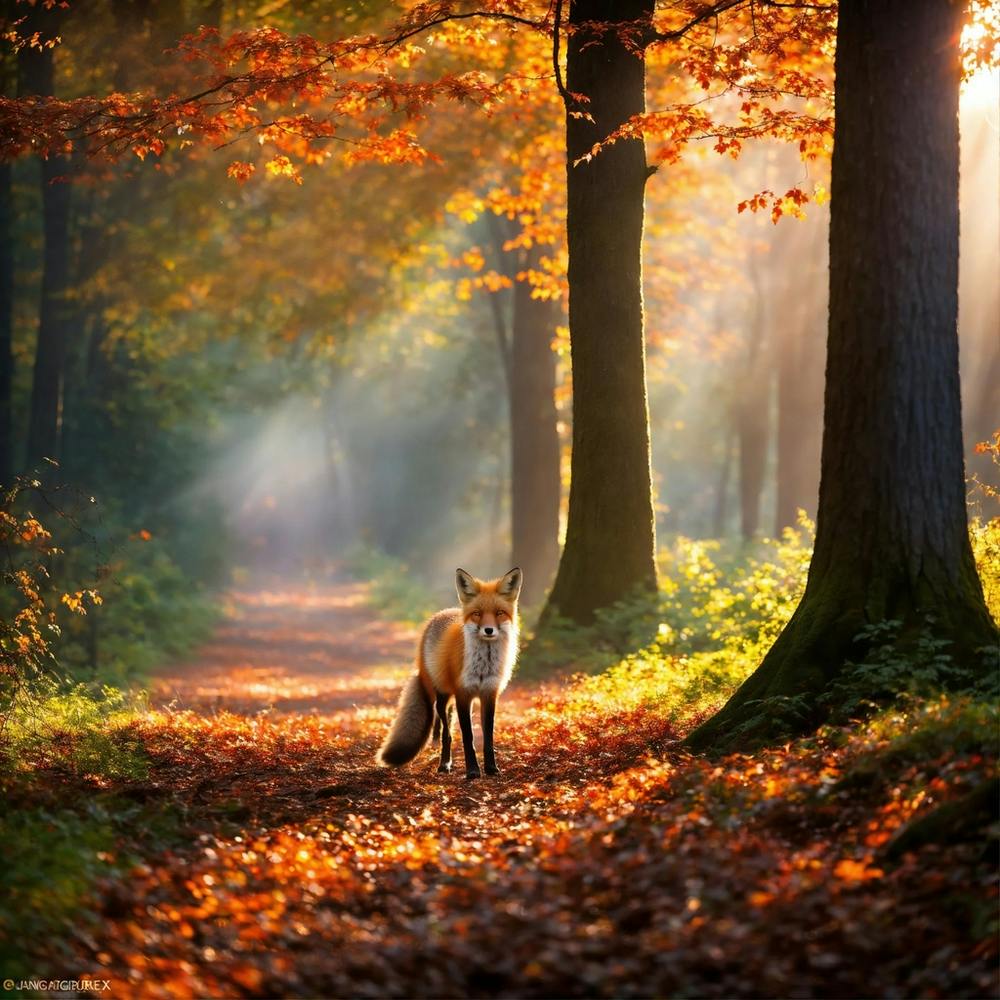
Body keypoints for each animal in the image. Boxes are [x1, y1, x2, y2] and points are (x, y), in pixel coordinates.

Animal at [376, 566, 522, 779]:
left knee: (450, 728)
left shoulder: (489, 694)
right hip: (442, 696)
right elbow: (468, 737)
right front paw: (472, 770)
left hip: (452, 699)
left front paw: (491, 768)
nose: (488, 630)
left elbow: (488, 736)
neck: (483, 666)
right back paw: (444, 764)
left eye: (499, 613)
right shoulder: (463, 694)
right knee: (446, 733)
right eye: (477, 613)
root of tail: (441, 613)